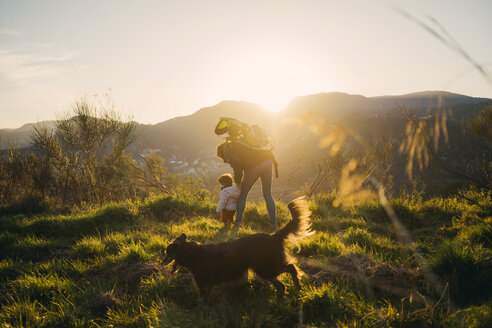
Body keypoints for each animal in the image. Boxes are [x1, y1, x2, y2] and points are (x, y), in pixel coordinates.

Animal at [161, 197, 312, 300]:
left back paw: (297, 285)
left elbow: (201, 305)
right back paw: (281, 298)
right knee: (281, 285)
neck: (192, 253)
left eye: (167, 253)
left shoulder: (204, 287)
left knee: (291, 267)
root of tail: (273, 236)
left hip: (266, 267)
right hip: (264, 270)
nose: (161, 262)